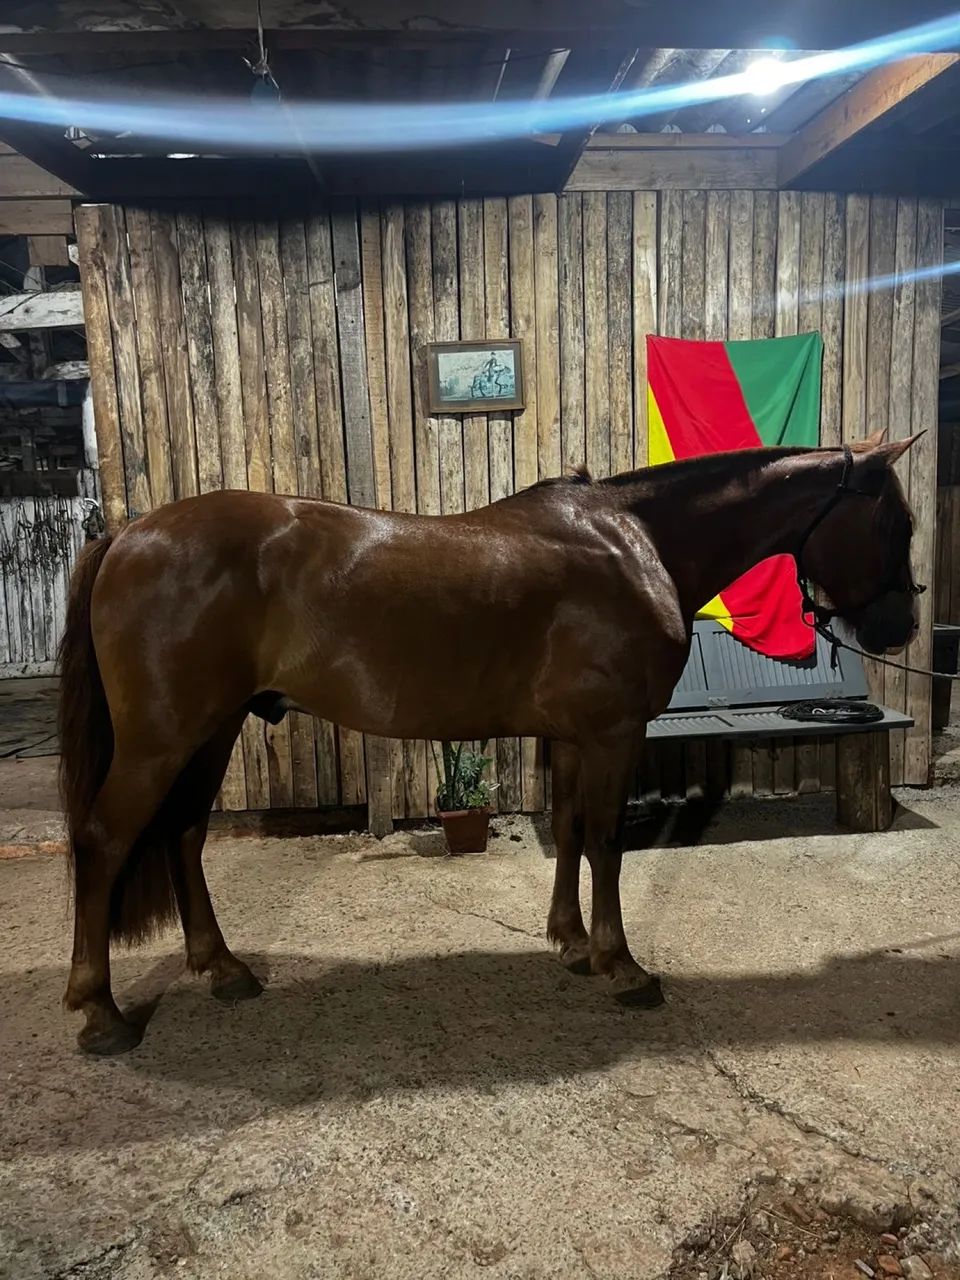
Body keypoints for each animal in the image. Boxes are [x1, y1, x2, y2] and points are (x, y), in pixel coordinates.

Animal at [58, 430, 923, 1055]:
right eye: (896, 521)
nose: (903, 627)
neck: (637, 544)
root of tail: (129, 535)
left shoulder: (572, 735)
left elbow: (569, 831)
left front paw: (571, 943)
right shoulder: (614, 733)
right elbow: (606, 841)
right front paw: (622, 966)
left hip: (212, 730)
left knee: (182, 832)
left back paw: (223, 969)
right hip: (163, 739)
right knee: (104, 840)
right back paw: (101, 1014)